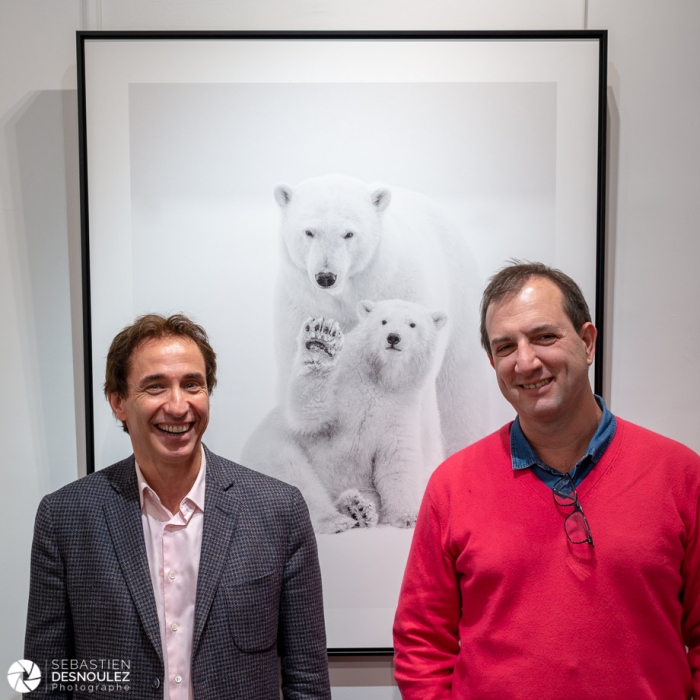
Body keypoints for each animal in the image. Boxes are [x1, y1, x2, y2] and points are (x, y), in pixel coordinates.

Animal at [274, 172, 486, 452]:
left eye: (349, 233)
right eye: (309, 232)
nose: (326, 277)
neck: (347, 296)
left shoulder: (401, 293)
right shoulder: (301, 306)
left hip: (461, 297)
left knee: (461, 388)